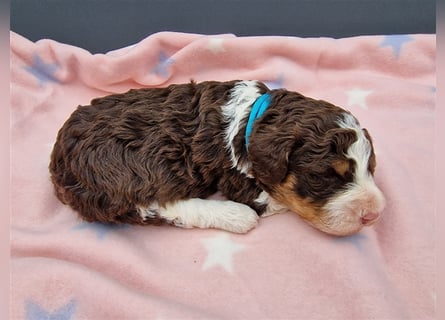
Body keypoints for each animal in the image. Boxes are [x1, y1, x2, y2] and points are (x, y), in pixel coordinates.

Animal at [48, 80, 384, 235]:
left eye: (371, 168)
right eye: (323, 176)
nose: (374, 215)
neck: (253, 117)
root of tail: (59, 159)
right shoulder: (236, 177)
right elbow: (276, 200)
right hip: (129, 169)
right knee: (155, 207)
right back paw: (235, 216)